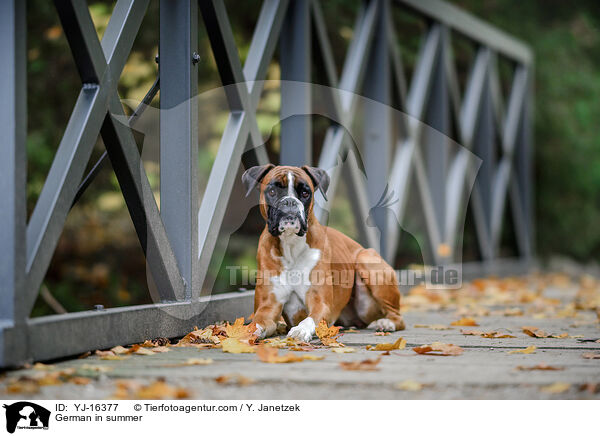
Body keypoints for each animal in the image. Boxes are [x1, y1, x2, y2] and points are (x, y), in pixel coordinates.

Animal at [241, 164, 406, 340]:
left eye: (305, 193)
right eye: (272, 191)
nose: (290, 202)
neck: (291, 245)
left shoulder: (320, 303)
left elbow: (310, 319)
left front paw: (300, 330)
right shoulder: (267, 307)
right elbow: (257, 322)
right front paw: (245, 333)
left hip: (366, 260)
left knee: (397, 316)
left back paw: (386, 323)